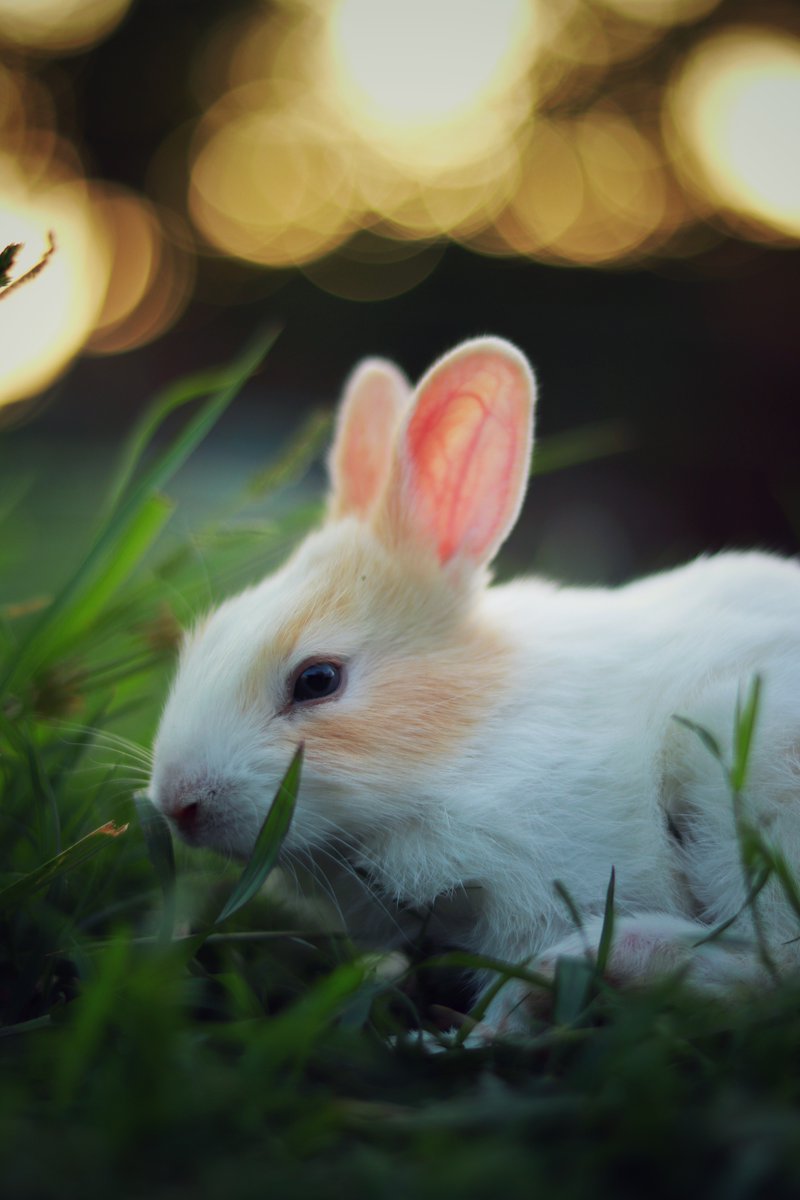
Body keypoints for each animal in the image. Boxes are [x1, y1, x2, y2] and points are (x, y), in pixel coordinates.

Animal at [149, 336, 800, 1032]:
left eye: (317, 680)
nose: (179, 804)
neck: (466, 744)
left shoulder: (543, 883)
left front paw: (485, 1028)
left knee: (771, 967)